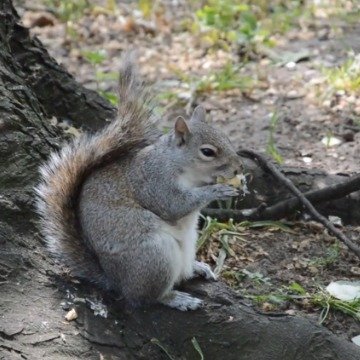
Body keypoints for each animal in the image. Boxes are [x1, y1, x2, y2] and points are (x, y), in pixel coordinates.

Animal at [35, 54, 243, 312]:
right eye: (208, 152)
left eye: (227, 137)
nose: (239, 167)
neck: (183, 167)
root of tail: (115, 280)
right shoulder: (154, 181)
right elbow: (173, 205)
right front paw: (217, 190)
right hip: (154, 256)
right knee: (145, 298)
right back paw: (176, 299)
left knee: (180, 274)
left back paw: (197, 267)